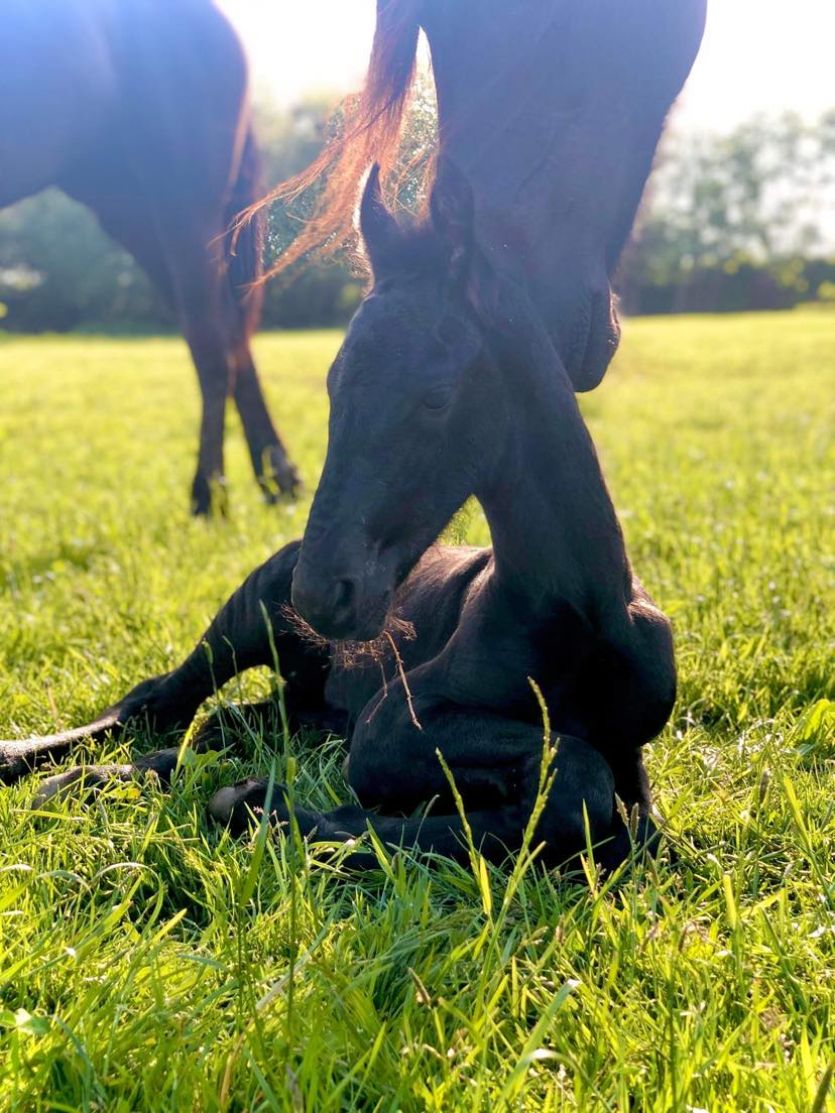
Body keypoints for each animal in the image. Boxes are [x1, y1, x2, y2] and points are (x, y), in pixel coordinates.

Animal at [0, 0, 299, 513]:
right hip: (134, 214)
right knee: (230, 333)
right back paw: (277, 479)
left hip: (183, 204)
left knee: (211, 345)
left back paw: (209, 494)